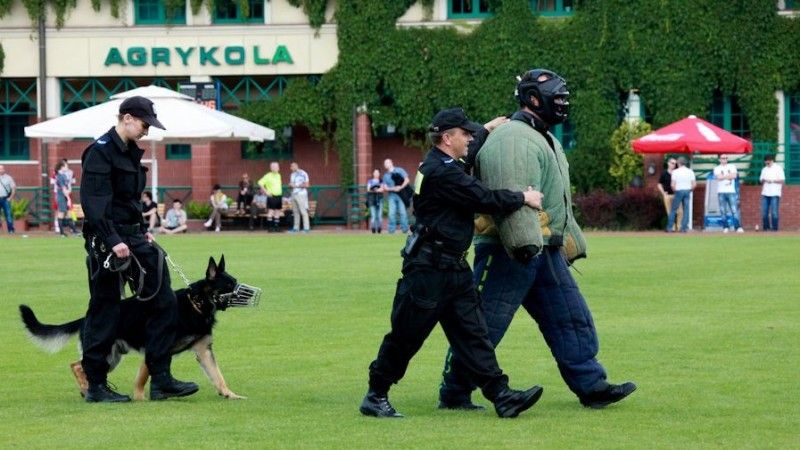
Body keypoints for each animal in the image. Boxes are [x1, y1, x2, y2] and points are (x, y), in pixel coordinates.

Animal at [20, 255, 260, 400]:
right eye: (228, 285)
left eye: (234, 282)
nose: (254, 295)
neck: (197, 304)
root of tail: (85, 317)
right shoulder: (155, 349)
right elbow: (144, 376)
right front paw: (141, 398)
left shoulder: (203, 351)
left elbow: (218, 376)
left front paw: (229, 394)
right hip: (108, 354)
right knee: (78, 365)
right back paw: (86, 389)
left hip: (113, 356)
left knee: (81, 365)